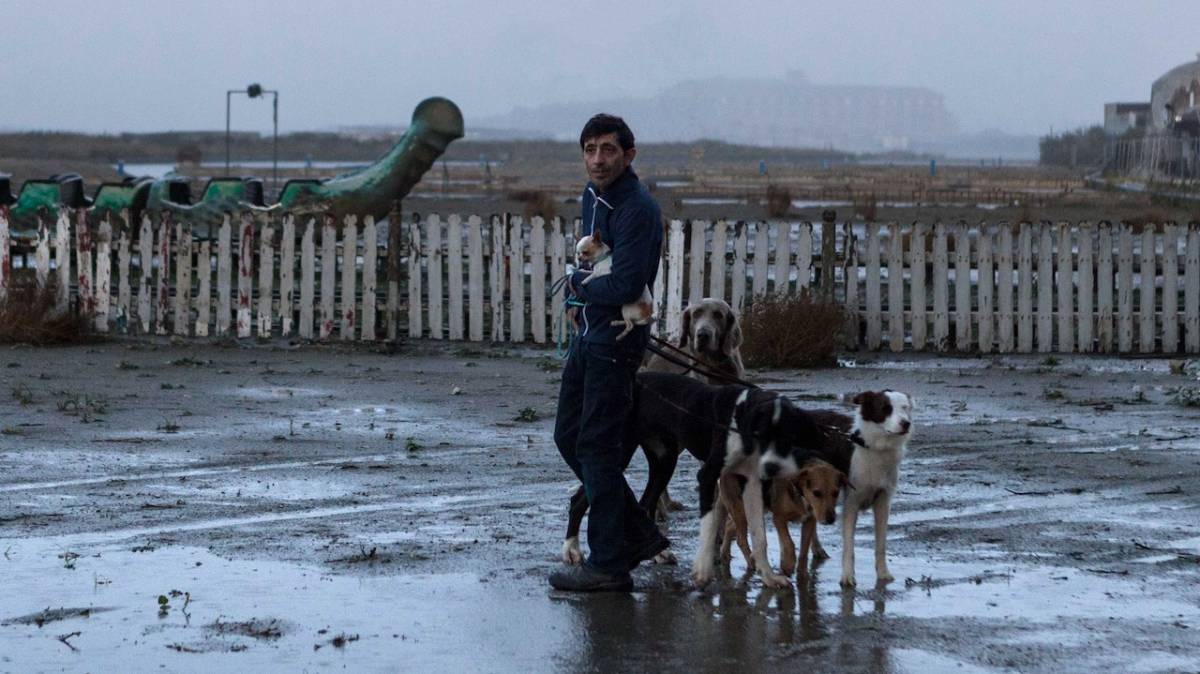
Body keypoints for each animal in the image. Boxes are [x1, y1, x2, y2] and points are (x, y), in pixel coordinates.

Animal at [715, 458, 849, 575]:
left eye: (836, 493)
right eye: (816, 493)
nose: (830, 519)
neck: (801, 496)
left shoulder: (809, 521)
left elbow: (804, 549)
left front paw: (802, 573)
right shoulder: (778, 518)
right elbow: (789, 543)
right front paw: (789, 564)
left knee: (729, 526)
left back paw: (725, 553)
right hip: (742, 509)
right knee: (740, 539)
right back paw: (751, 563)